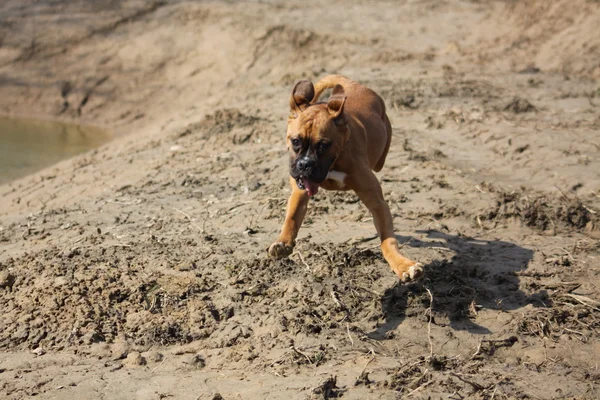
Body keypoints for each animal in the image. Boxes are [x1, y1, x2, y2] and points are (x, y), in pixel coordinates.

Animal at [270, 74, 424, 282]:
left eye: (324, 145)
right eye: (295, 141)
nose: (305, 164)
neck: (333, 163)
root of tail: (350, 83)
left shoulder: (377, 204)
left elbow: (387, 240)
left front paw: (403, 264)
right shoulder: (299, 193)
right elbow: (292, 217)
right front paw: (283, 243)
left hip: (381, 154)